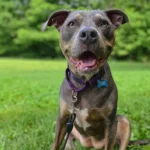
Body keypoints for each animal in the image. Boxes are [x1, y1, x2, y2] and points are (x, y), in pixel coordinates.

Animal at [42, 9, 131, 150]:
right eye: (71, 23)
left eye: (104, 23)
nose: (88, 34)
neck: (84, 83)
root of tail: (91, 144)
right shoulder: (62, 119)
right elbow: (55, 144)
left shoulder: (111, 122)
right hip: (69, 131)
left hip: (124, 121)